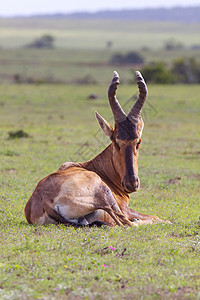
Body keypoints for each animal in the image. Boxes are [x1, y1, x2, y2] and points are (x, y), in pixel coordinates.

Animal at [25, 71, 169, 226]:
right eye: (116, 142)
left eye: (138, 142)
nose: (131, 184)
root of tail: (46, 202)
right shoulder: (125, 209)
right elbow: (155, 217)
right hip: (105, 196)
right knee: (127, 223)